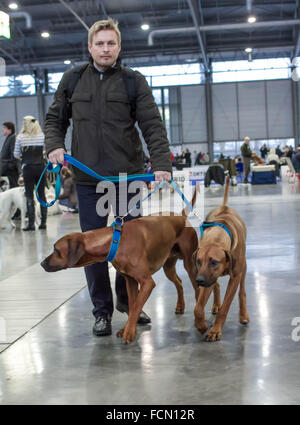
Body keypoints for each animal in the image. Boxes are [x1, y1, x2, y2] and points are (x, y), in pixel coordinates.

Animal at [42, 184, 219, 342]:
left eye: (56, 250)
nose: (42, 263)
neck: (115, 241)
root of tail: (181, 216)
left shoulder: (147, 282)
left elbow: (136, 307)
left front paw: (129, 332)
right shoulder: (131, 280)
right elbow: (133, 305)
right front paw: (127, 328)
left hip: (191, 265)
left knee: (202, 287)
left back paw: (205, 314)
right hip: (168, 265)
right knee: (180, 282)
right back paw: (182, 306)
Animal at [193, 176, 250, 342]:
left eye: (214, 262)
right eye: (198, 261)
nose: (198, 281)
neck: (217, 239)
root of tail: (224, 206)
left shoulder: (235, 276)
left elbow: (225, 307)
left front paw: (215, 331)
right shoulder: (207, 277)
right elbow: (198, 307)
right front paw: (201, 324)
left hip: (243, 267)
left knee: (242, 291)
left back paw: (243, 315)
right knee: (216, 285)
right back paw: (215, 305)